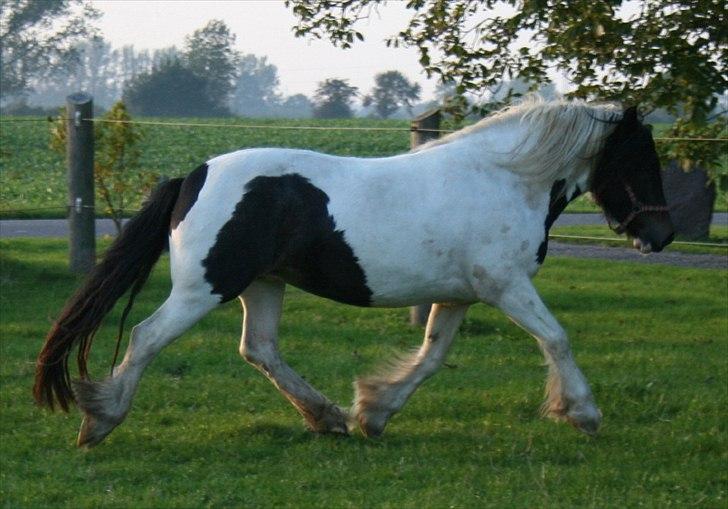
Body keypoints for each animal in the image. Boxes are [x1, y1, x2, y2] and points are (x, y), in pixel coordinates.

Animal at [32, 98, 672, 444]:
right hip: (204, 288)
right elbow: (556, 338)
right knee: (147, 338)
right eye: (640, 156)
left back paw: (327, 418)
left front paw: (375, 412)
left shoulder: (459, 296)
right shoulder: (507, 287)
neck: (506, 180)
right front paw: (583, 413)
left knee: (259, 349)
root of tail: (195, 174)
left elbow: (431, 358)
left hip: (263, 284)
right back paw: (100, 421)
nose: (661, 236)